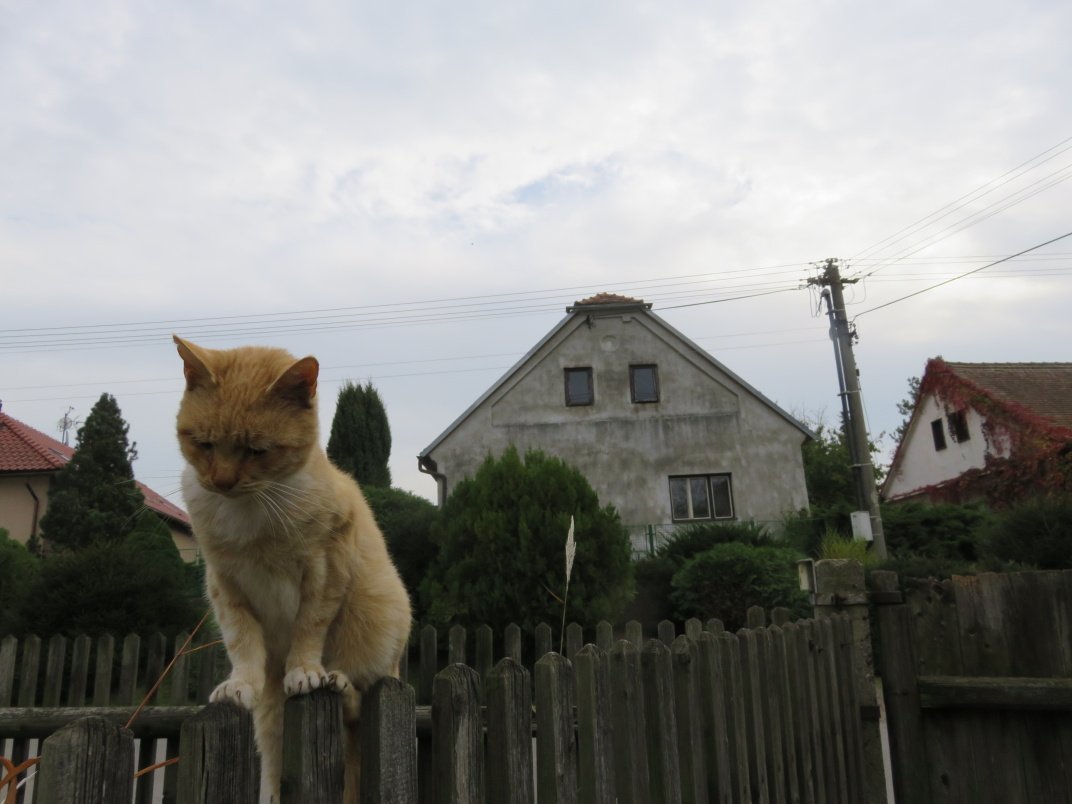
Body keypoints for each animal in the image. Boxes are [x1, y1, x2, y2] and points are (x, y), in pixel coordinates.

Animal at [173, 336, 412, 802]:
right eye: (204, 444)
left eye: (257, 450)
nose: (222, 482)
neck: (253, 509)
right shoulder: (225, 584)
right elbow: (242, 642)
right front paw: (239, 685)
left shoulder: (324, 572)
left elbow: (309, 628)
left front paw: (304, 672)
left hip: (382, 625)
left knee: (360, 702)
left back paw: (335, 680)